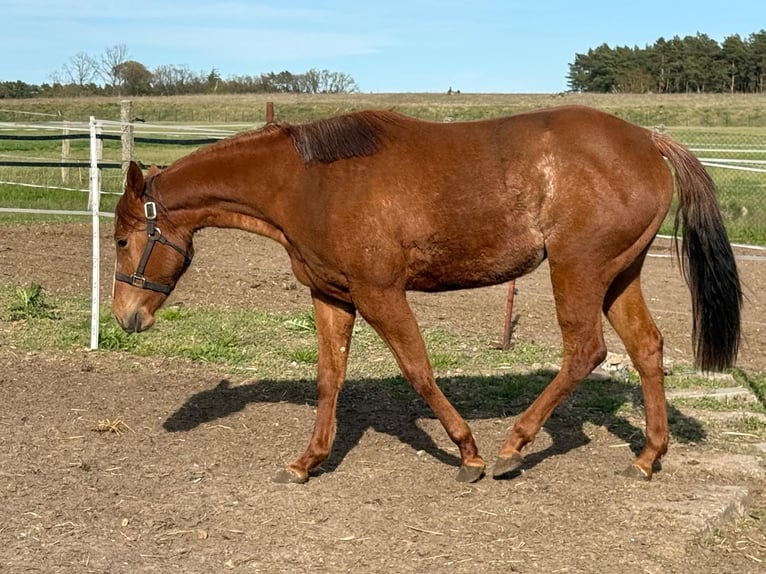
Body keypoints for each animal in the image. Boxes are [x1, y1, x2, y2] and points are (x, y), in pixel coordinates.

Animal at [112, 105, 742, 484]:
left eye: (121, 239)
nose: (125, 317)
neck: (310, 183)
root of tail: (648, 140)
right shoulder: (333, 297)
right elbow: (329, 378)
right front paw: (308, 461)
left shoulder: (380, 293)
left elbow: (418, 370)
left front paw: (469, 453)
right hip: (618, 274)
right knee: (647, 348)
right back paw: (647, 457)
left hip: (579, 271)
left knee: (586, 351)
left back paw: (513, 447)